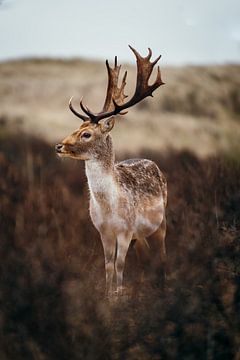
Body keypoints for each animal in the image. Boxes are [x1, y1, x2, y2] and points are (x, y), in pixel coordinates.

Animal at [55, 45, 167, 298]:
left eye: (86, 134)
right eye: (77, 127)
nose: (59, 146)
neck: (109, 208)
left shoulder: (125, 230)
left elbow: (119, 264)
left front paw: (118, 295)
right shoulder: (103, 230)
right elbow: (107, 264)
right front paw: (107, 296)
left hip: (161, 223)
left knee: (162, 253)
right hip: (140, 234)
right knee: (143, 254)